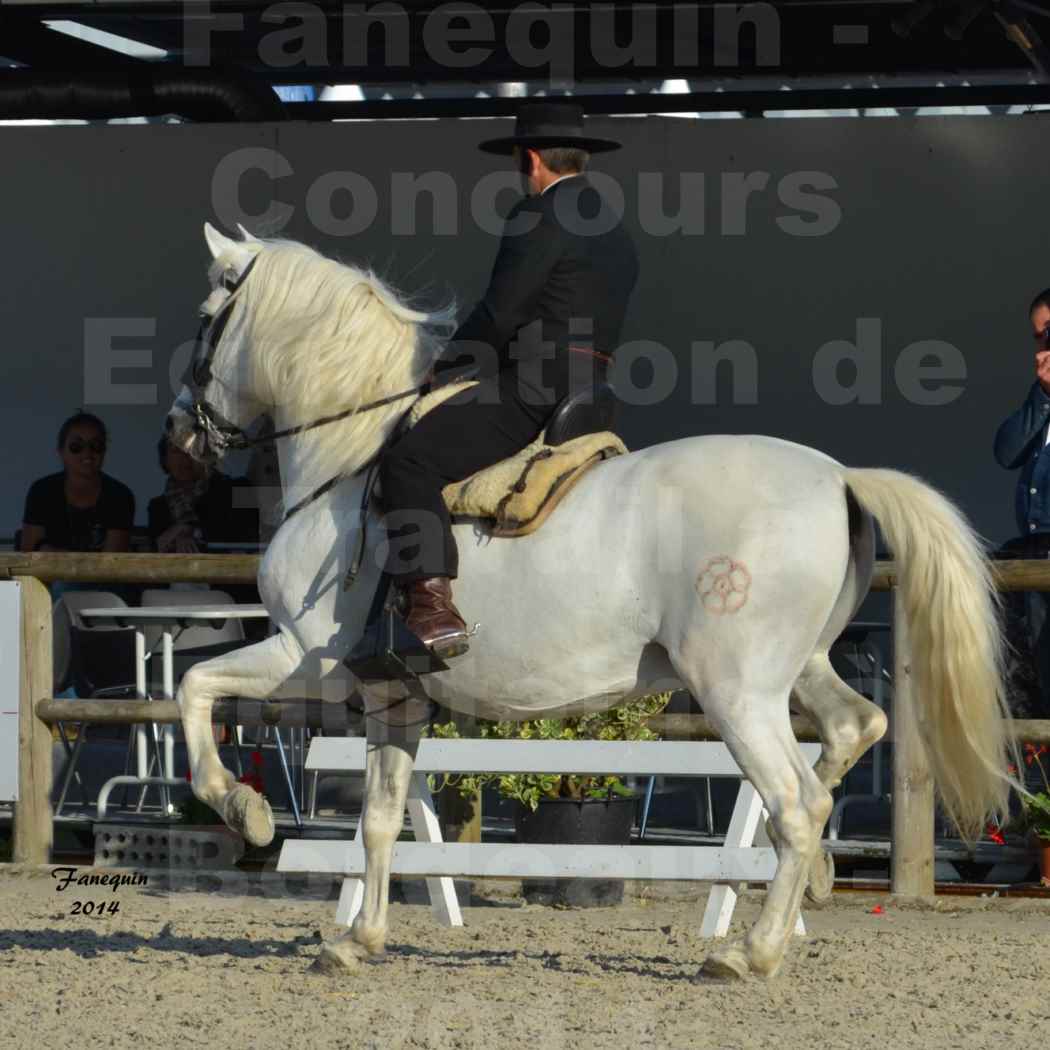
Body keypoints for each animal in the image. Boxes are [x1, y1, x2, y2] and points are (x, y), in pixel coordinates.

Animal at [170, 225, 1016, 978]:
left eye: (207, 317)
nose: (178, 438)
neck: (352, 456)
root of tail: (839, 475)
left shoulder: (308, 659)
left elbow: (194, 685)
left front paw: (241, 810)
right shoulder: (391, 695)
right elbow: (379, 820)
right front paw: (356, 942)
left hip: (738, 694)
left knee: (796, 804)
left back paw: (749, 954)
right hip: (797, 670)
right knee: (853, 729)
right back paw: (809, 889)